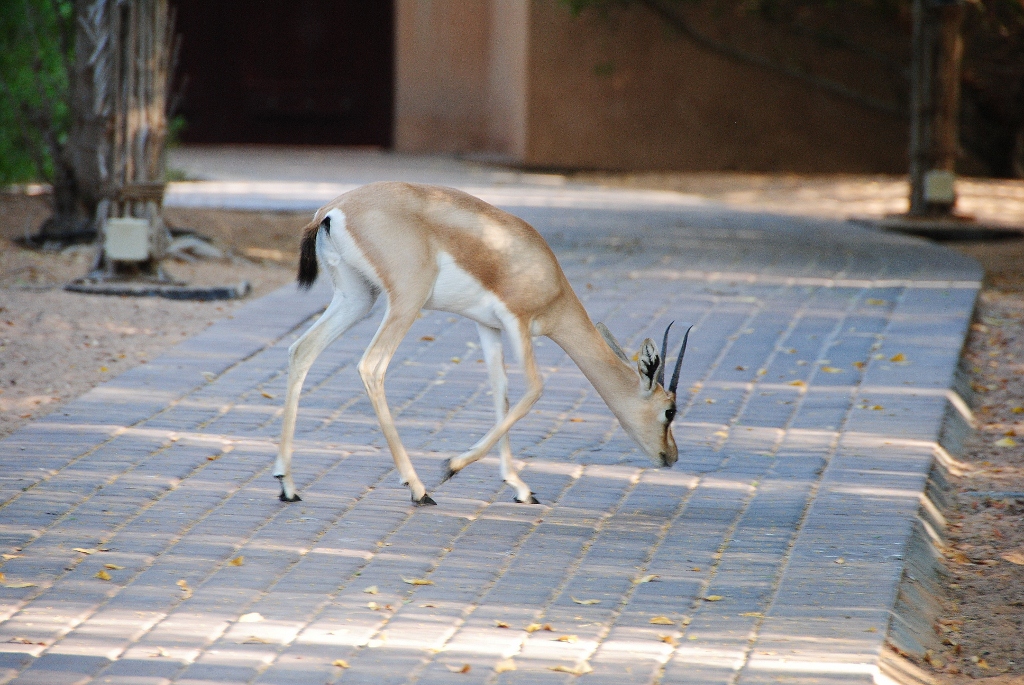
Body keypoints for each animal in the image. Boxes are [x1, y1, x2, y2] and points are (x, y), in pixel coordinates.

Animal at [274, 182, 691, 506]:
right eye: (669, 411)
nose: (671, 456)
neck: (547, 277)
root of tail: (333, 209)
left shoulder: (488, 328)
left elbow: (500, 391)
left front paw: (520, 487)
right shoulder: (518, 323)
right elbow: (534, 388)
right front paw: (452, 465)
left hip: (357, 298)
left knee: (301, 350)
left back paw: (287, 484)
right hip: (406, 301)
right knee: (372, 366)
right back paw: (419, 489)